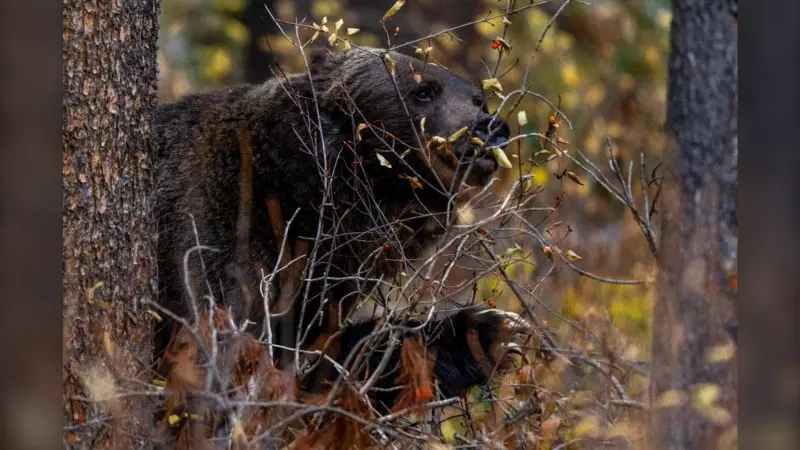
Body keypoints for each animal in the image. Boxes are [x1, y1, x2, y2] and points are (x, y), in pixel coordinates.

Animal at [152, 46, 529, 442]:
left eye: (477, 98)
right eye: (423, 91)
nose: (490, 127)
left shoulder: (322, 291)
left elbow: (330, 365)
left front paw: (489, 332)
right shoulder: (212, 240)